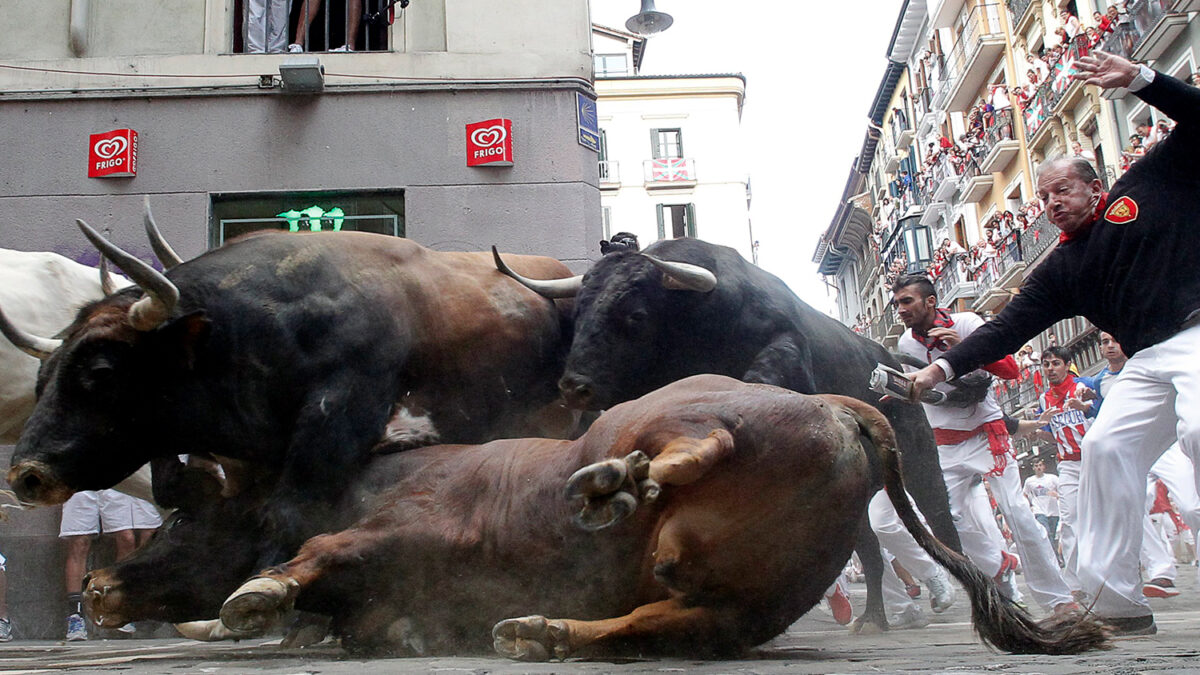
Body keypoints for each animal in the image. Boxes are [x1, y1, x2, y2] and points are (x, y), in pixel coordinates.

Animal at [220, 372, 1108, 658]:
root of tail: (843, 406)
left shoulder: (401, 523)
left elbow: (319, 547)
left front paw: (255, 597)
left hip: (665, 409)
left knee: (695, 439)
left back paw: (609, 484)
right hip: (738, 600)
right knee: (656, 618)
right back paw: (539, 628)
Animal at [496, 235, 964, 624]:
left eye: (636, 315)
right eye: (577, 315)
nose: (574, 386)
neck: (696, 329)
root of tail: (889, 359)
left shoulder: (783, 346)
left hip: (918, 461)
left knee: (939, 515)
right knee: (867, 546)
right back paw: (872, 619)